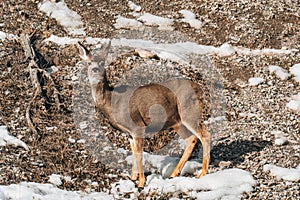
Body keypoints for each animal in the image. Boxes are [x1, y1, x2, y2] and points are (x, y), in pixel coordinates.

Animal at [77, 41, 211, 188]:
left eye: (102, 62)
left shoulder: (137, 126)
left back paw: (203, 172)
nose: (95, 69)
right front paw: (132, 177)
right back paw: (174, 173)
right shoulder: (129, 133)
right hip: (176, 121)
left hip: (189, 111)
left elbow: (139, 153)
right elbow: (134, 153)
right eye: (89, 63)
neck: (111, 102)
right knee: (191, 139)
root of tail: (199, 88)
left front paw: (141, 182)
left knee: (205, 135)